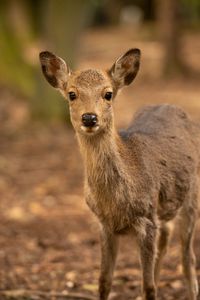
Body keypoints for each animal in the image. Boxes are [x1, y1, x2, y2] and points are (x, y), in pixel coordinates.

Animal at [38, 49, 199, 300]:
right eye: (72, 94)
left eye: (108, 94)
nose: (89, 118)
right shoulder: (104, 224)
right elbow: (104, 281)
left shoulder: (146, 219)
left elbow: (148, 287)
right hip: (166, 208)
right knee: (166, 240)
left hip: (192, 198)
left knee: (187, 258)